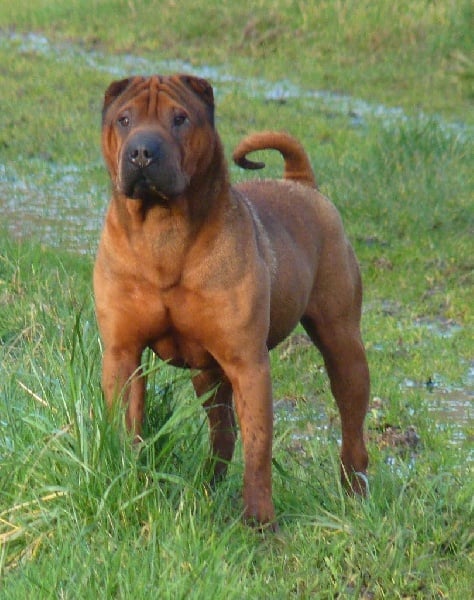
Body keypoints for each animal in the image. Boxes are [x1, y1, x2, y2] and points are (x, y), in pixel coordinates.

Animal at [93, 74, 369, 527]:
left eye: (180, 118)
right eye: (124, 119)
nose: (142, 152)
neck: (162, 233)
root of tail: (300, 182)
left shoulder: (248, 363)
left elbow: (258, 446)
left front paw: (259, 519)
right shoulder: (123, 353)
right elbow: (125, 425)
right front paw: (127, 479)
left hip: (342, 344)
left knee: (351, 425)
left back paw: (355, 493)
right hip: (207, 373)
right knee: (221, 432)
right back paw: (206, 486)